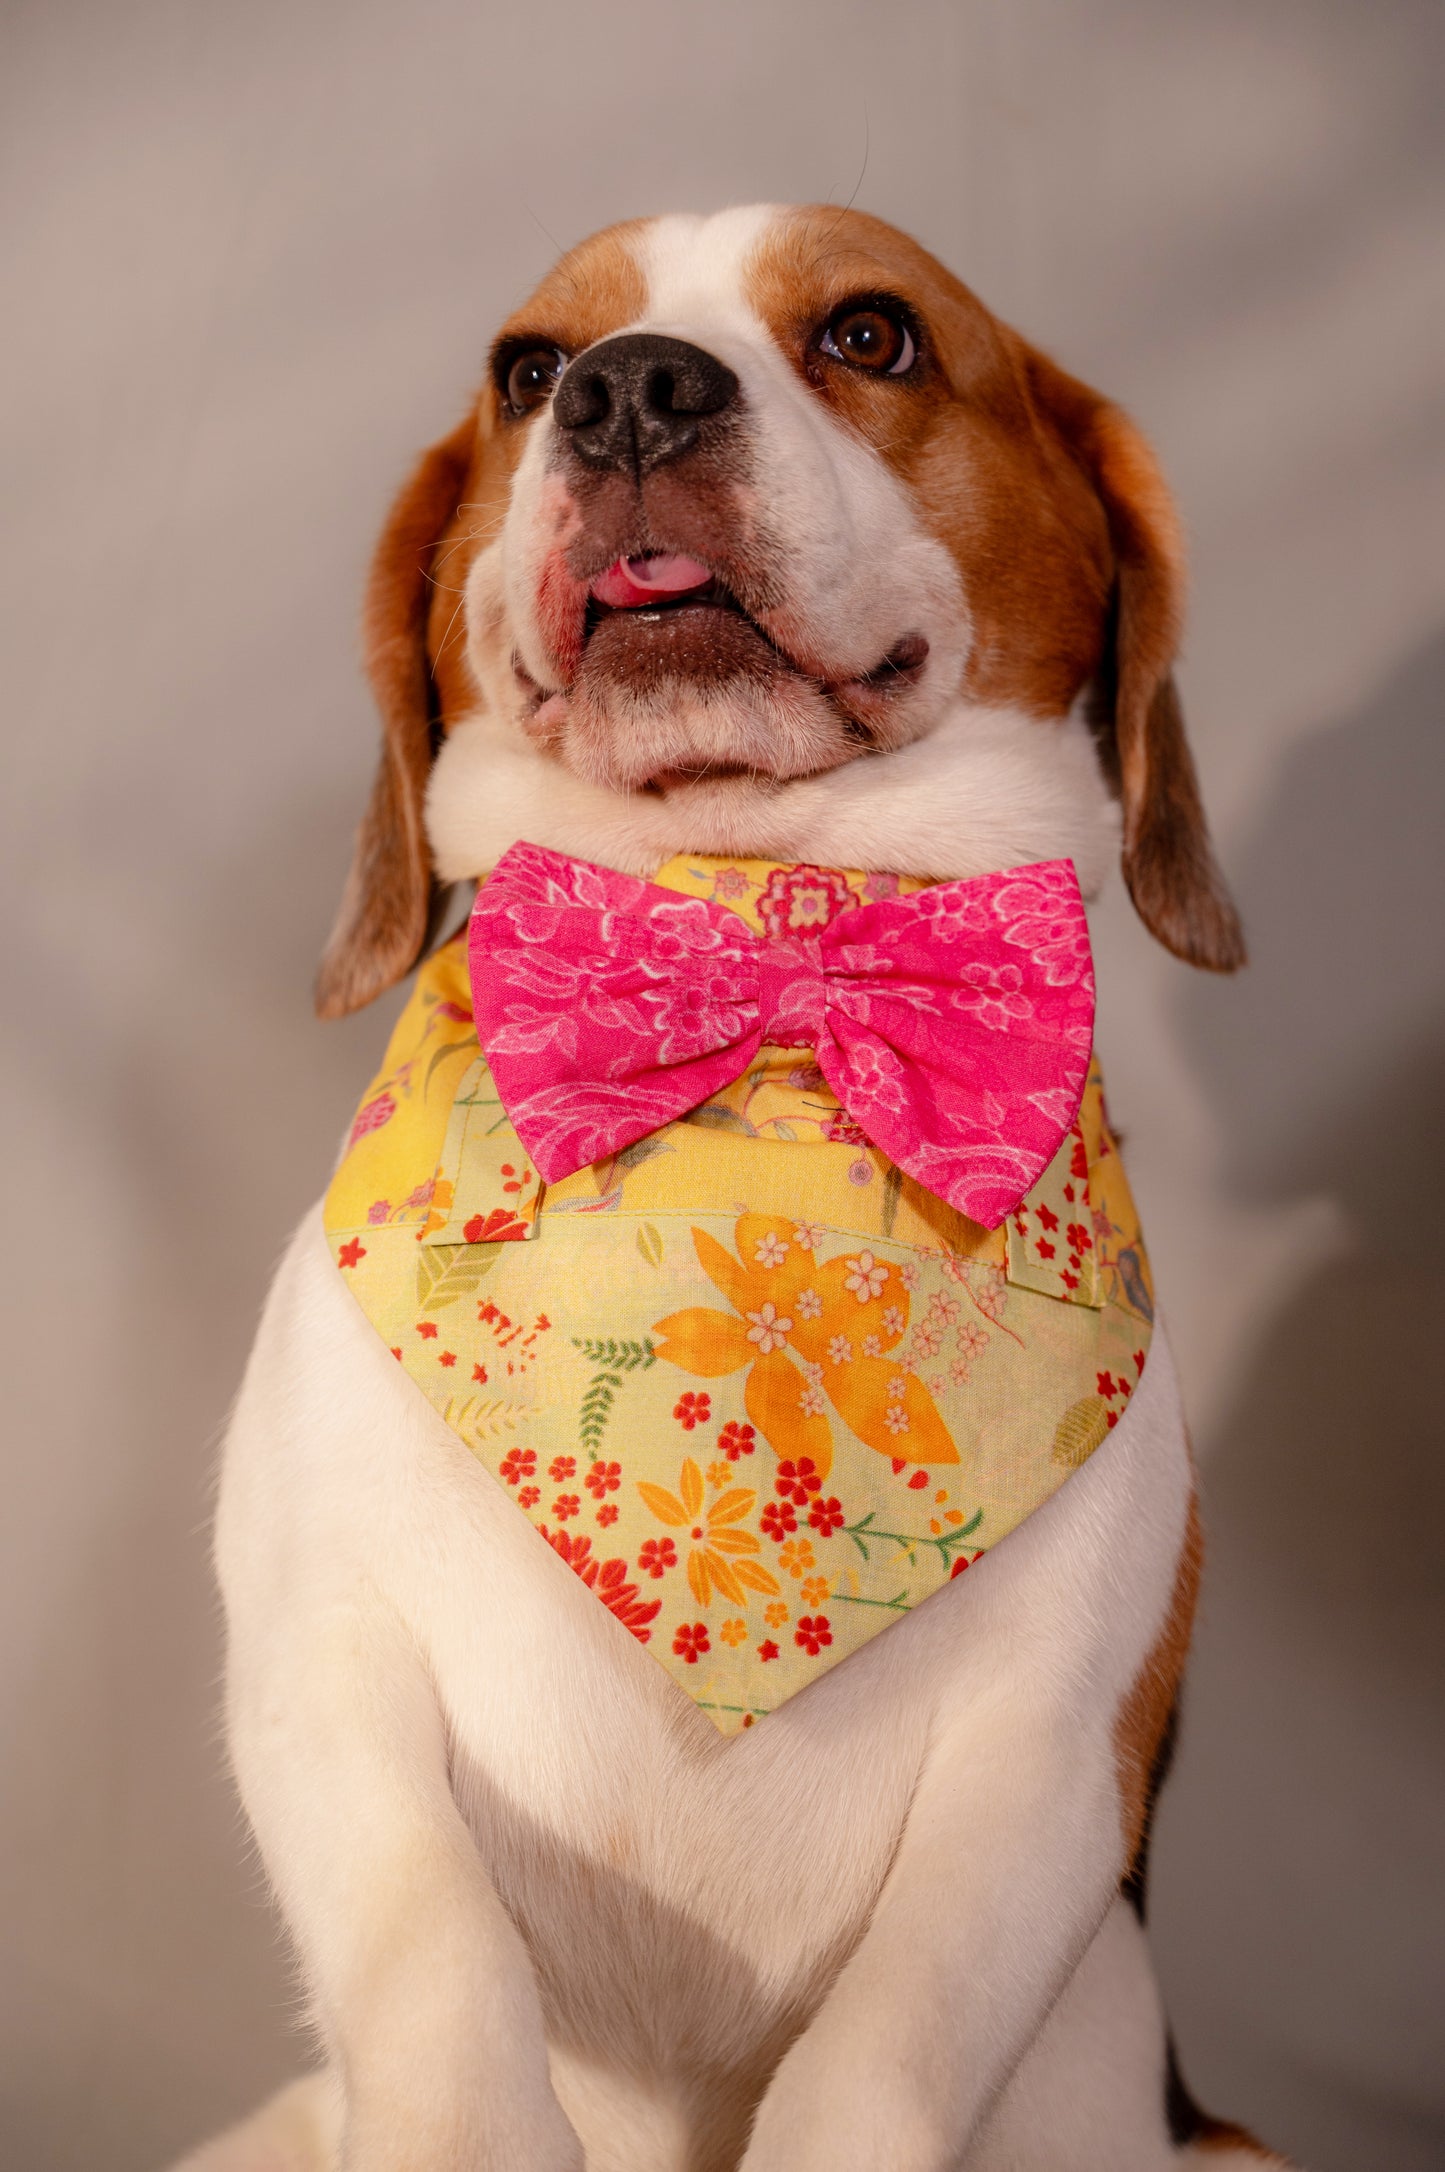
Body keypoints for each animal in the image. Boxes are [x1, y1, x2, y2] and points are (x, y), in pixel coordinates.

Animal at [174, 204, 1286, 2172]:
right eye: (528, 368)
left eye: (872, 333)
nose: (630, 392)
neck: (749, 928)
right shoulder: (321, 1659)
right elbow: (434, 1958)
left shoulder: (1054, 1754)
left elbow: (882, 2056)